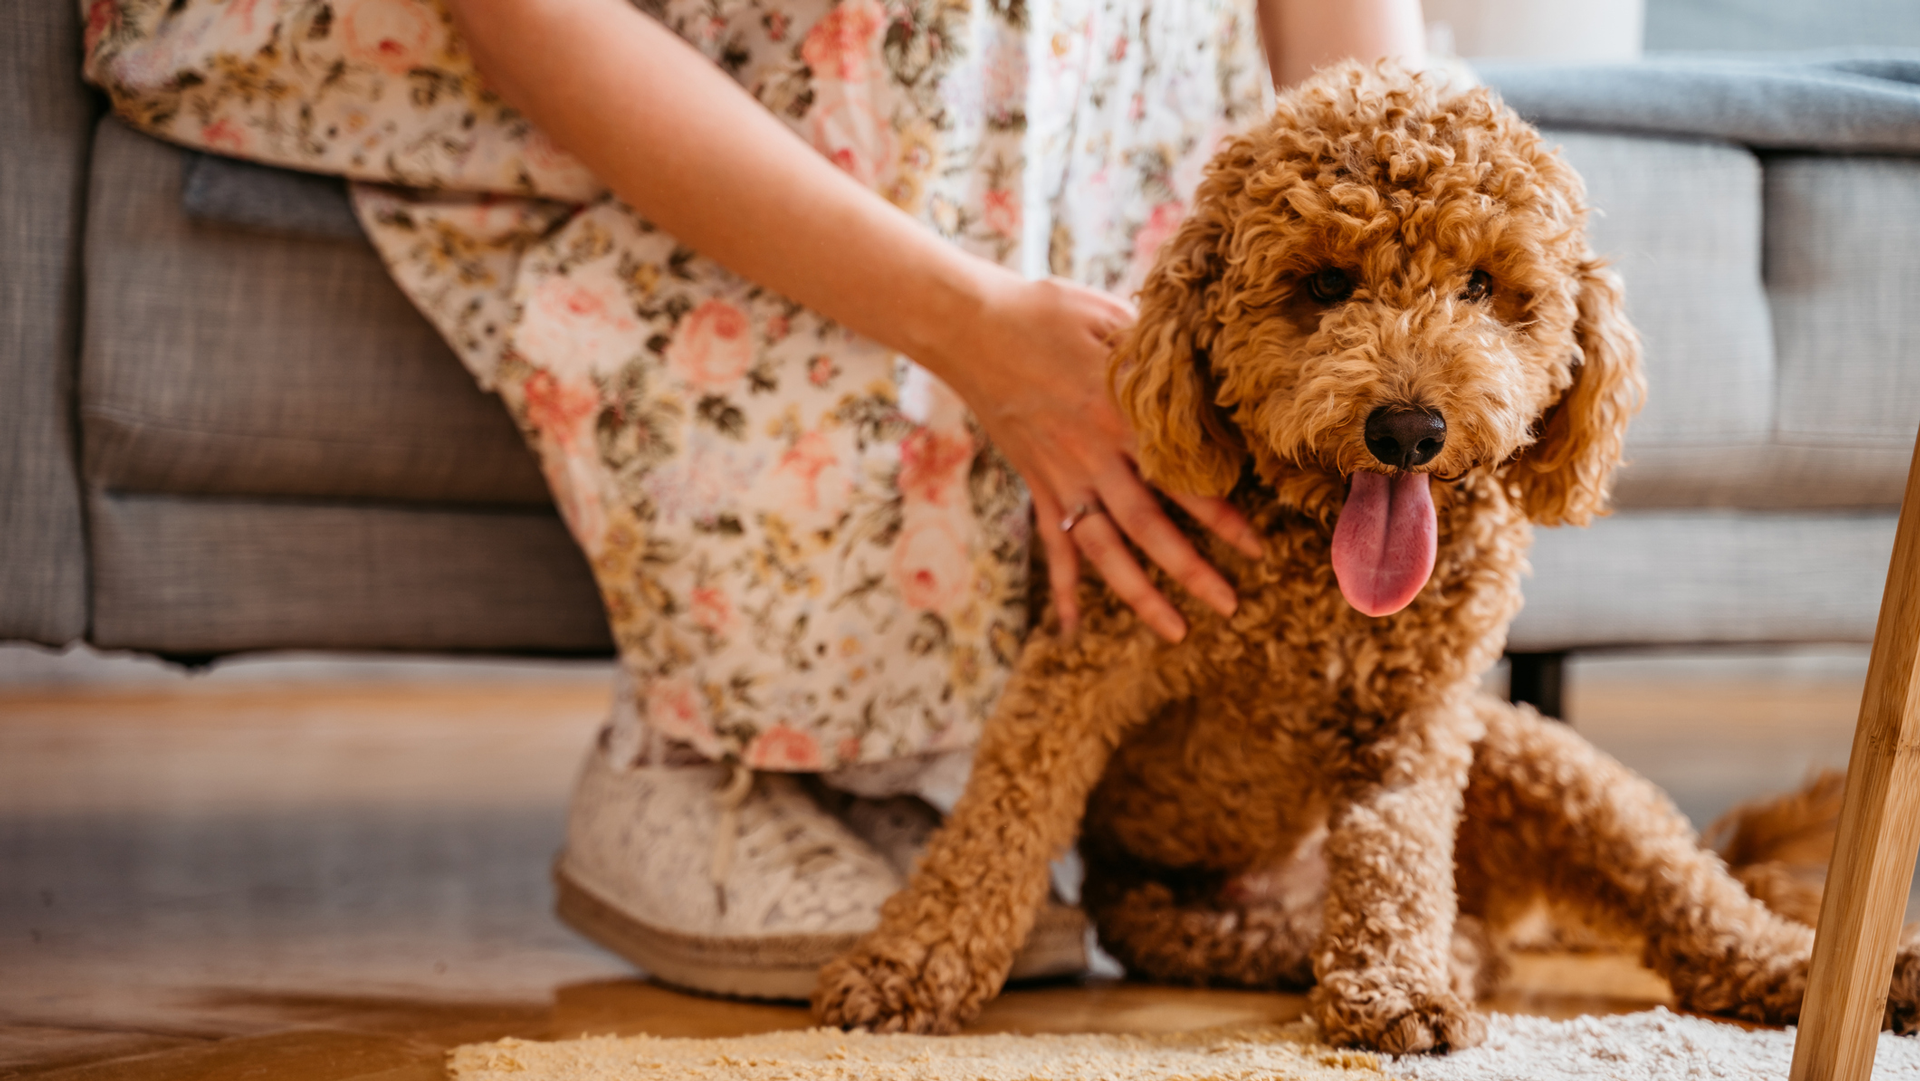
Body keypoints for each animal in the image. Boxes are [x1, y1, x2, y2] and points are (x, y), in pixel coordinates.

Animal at [814, 61, 1920, 1059]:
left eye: (1483, 285)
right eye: (1324, 284)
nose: (1407, 429)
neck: (1321, 584)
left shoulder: (1422, 715)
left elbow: (1396, 847)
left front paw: (1397, 988)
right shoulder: (1091, 656)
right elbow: (999, 816)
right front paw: (906, 968)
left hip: (1540, 763)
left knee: (1699, 897)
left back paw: (1824, 969)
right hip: (1201, 917)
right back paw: (1465, 951)